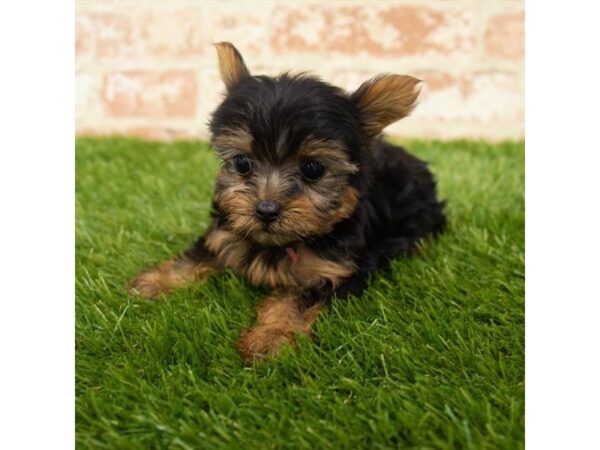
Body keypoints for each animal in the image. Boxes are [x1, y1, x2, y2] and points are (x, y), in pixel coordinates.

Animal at [130, 42, 446, 362]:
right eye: (242, 163)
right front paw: (154, 281)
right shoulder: (224, 231)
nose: (266, 210)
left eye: (312, 169)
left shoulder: (335, 271)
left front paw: (271, 336)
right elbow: (196, 256)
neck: (279, 244)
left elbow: (295, 298)